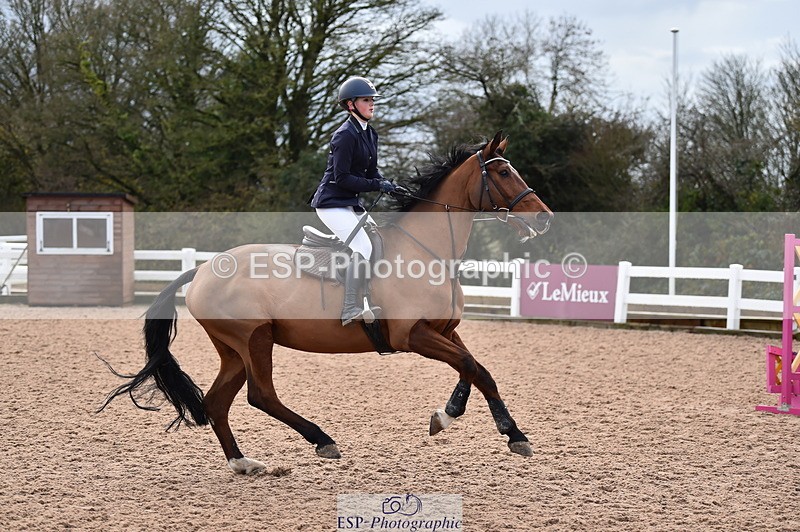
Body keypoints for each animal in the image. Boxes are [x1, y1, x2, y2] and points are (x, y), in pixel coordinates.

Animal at [100, 132, 553, 474]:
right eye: (503, 171)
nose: (544, 217)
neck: (428, 252)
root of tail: (205, 268)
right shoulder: (414, 336)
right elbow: (474, 367)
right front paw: (508, 433)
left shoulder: (445, 330)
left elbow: (473, 370)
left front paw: (454, 417)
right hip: (254, 339)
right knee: (260, 396)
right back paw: (322, 441)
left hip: (233, 349)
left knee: (217, 401)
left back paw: (242, 462)